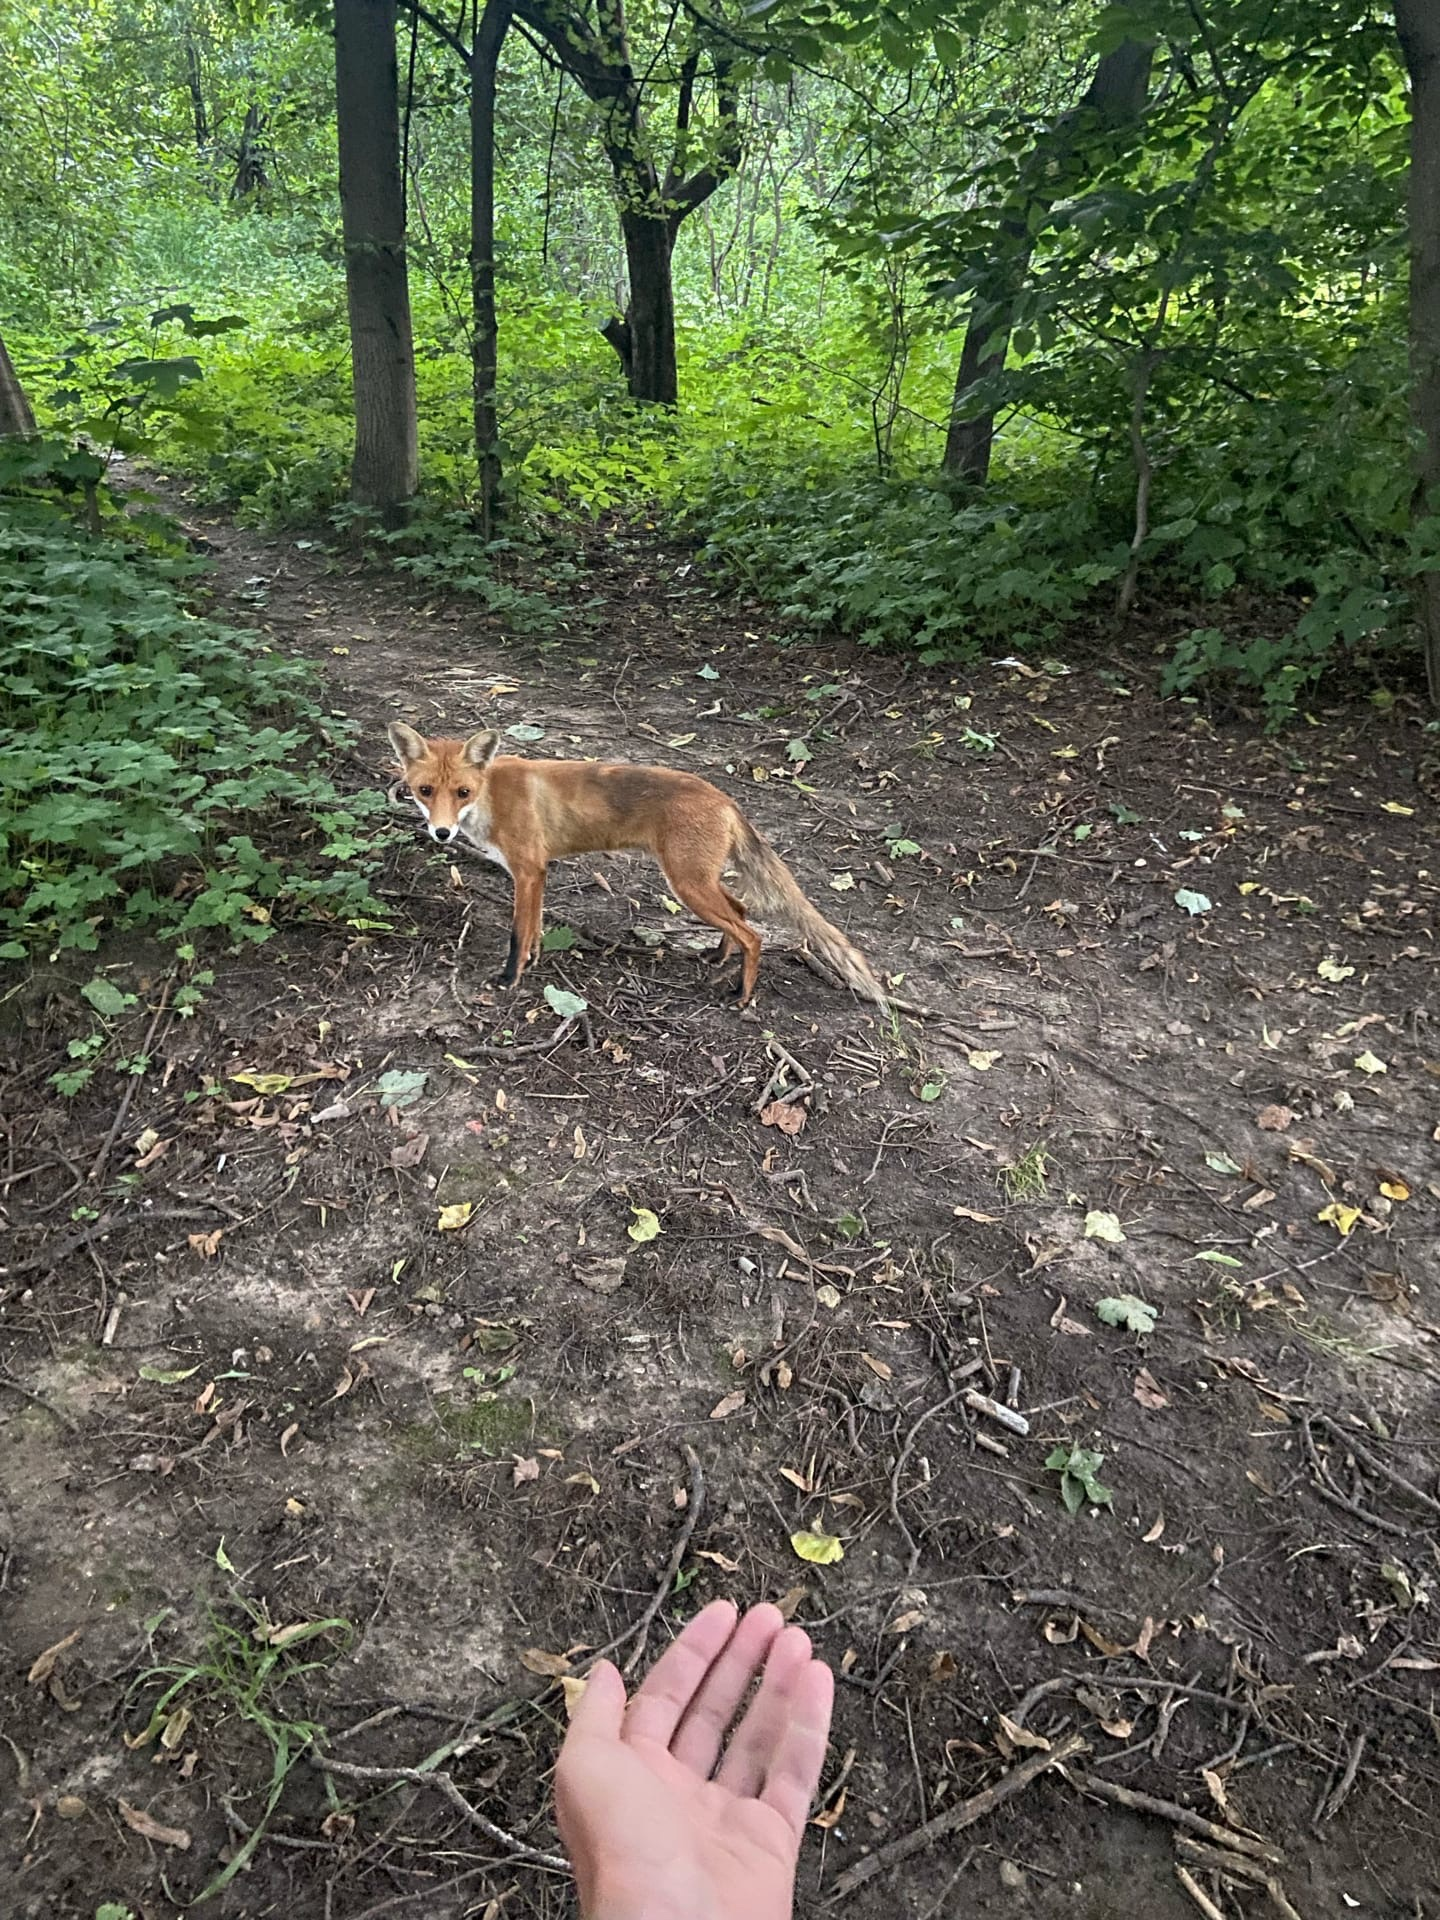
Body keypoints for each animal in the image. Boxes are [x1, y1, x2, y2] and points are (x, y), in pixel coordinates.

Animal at [391, 721, 890, 1013]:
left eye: (462, 792)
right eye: (424, 790)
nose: (441, 833)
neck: (491, 796)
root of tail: (724, 797)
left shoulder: (529, 870)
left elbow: (517, 933)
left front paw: (510, 978)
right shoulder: (536, 873)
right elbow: (532, 931)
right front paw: (529, 964)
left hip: (687, 884)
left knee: (754, 934)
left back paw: (742, 994)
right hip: (699, 882)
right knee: (740, 912)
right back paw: (718, 957)